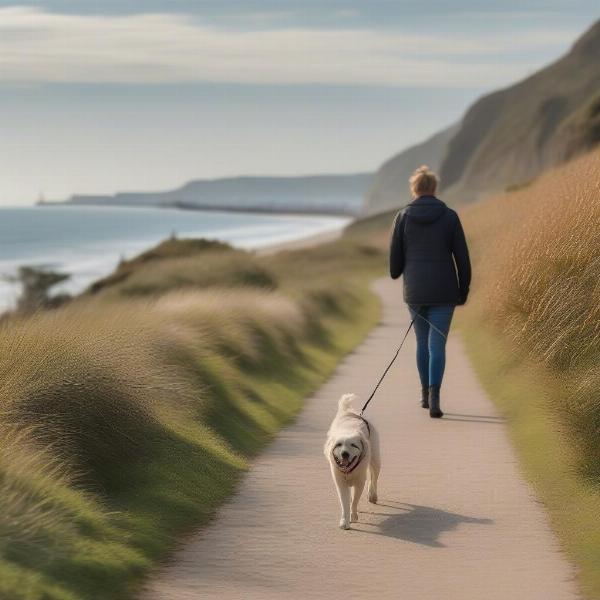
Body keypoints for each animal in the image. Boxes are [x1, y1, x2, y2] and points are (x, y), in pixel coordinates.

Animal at [324, 394, 380, 528]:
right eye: (338, 445)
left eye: (354, 445)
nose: (345, 454)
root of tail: (352, 414)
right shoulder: (340, 483)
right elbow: (345, 501)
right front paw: (345, 520)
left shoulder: (359, 482)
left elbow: (355, 501)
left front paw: (353, 516)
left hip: (376, 460)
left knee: (374, 478)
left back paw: (372, 495)